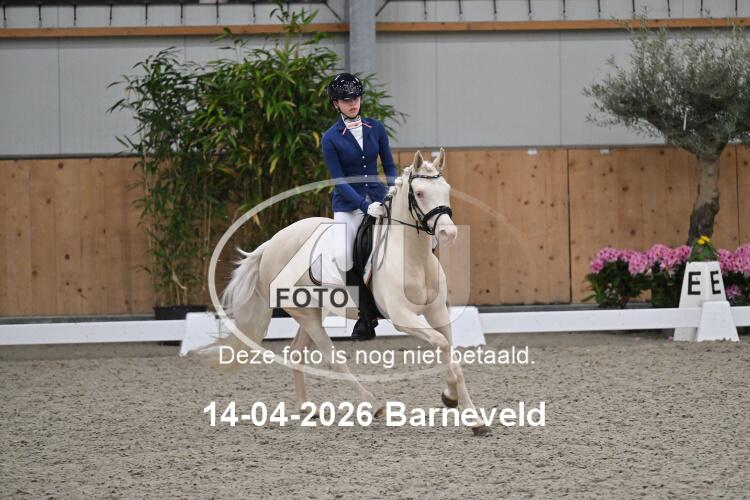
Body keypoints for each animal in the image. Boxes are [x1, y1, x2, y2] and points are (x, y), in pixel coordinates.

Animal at [210, 148, 490, 436]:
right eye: (420, 193)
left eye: (447, 190)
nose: (448, 233)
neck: (414, 257)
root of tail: (272, 243)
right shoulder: (402, 317)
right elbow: (443, 345)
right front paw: (456, 402)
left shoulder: (436, 311)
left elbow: (450, 354)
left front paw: (469, 413)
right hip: (305, 314)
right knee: (332, 358)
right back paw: (376, 406)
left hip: (313, 310)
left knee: (297, 352)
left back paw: (307, 408)